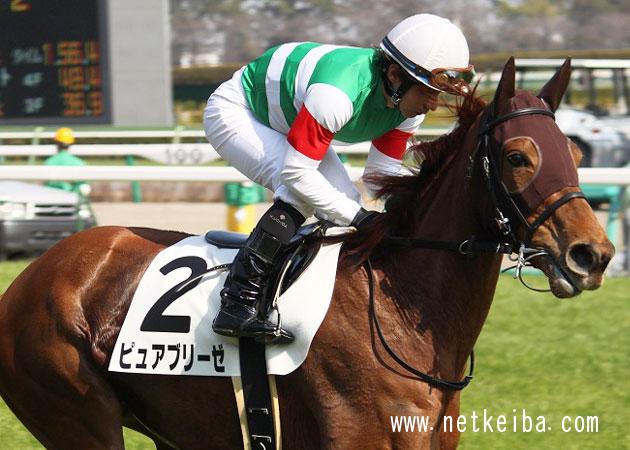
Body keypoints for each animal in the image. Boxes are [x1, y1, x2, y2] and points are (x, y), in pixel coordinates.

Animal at [0, 57, 614, 450]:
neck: (395, 302)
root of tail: (30, 278)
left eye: (573, 151)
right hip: (77, 417)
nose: (595, 254)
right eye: (518, 157)